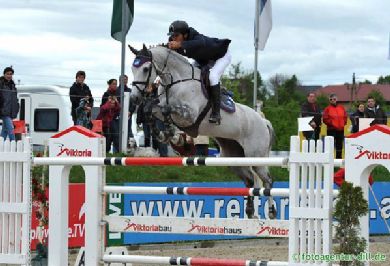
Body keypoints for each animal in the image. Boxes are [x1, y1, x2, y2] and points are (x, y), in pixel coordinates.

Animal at [129, 44, 276, 218]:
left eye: (146, 69)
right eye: (132, 68)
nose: (134, 98)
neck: (175, 82)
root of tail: (263, 121)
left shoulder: (189, 114)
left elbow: (166, 110)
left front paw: (169, 133)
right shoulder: (161, 107)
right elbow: (150, 108)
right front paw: (164, 134)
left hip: (256, 156)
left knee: (267, 180)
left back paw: (271, 212)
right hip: (233, 157)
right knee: (249, 180)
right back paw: (250, 211)